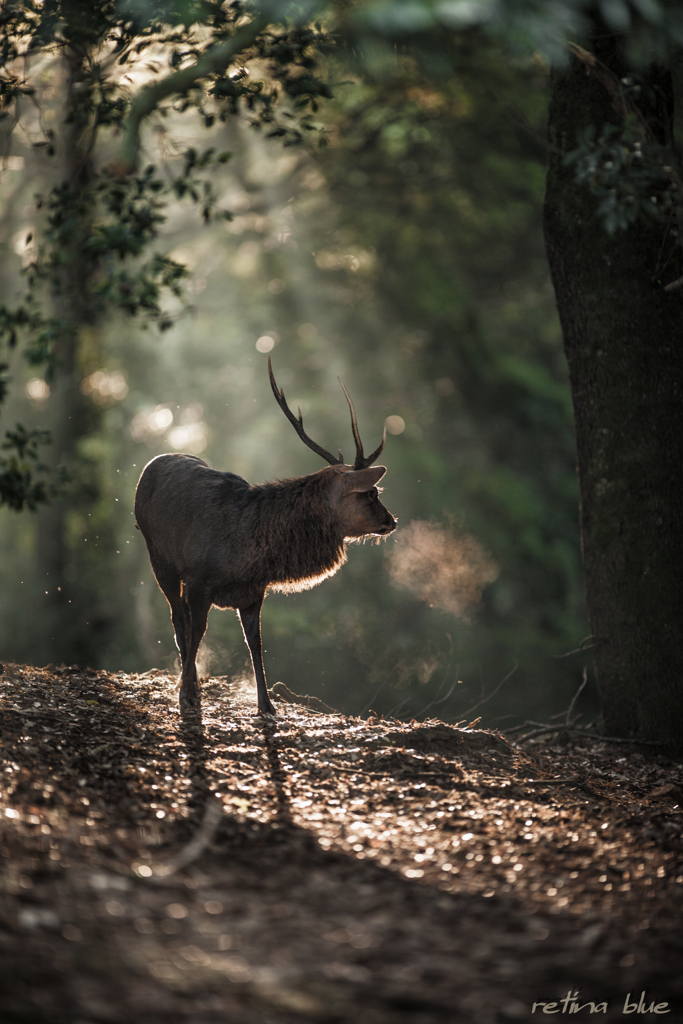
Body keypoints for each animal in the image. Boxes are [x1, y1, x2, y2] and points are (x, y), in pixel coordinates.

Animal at [134, 358, 397, 712]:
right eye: (371, 493)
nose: (391, 521)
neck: (248, 556)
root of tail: (152, 463)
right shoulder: (199, 580)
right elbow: (197, 630)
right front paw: (188, 693)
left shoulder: (254, 592)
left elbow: (255, 643)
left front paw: (266, 703)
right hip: (159, 558)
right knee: (178, 620)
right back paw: (187, 684)